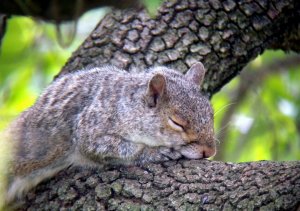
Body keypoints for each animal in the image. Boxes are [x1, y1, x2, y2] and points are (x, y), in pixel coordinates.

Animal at [4, 61, 216, 204]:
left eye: (211, 113)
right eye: (176, 122)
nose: (210, 151)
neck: (129, 106)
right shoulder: (92, 128)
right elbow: (118, 149)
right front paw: (157, 152)